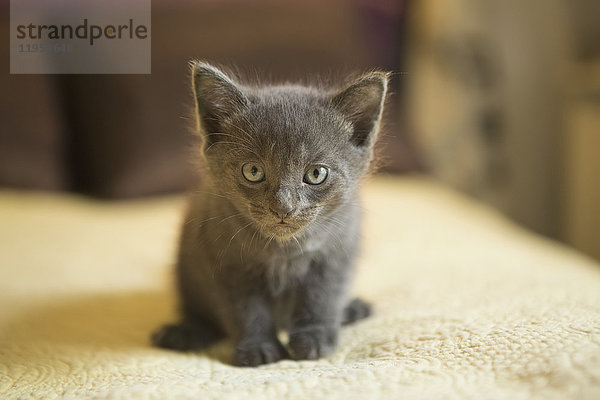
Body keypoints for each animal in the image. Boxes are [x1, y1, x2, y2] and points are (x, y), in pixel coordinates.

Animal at [152, 61, 390, 366]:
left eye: (316, 174)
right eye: (253, 171)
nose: (283, 206)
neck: (283, 250)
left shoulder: (335, 254)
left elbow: (321, 298)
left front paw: (313, 340)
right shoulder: (228, 265)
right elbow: (246, 311)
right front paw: (259, 349)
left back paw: (352, 309)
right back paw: (184, 333)